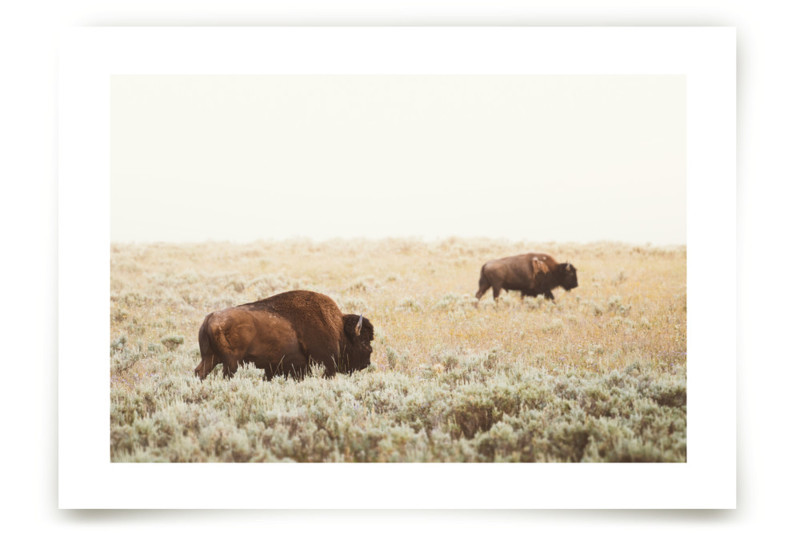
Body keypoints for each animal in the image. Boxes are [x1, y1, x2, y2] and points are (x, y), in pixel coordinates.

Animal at [195, 290, 374, 381]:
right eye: (364, 341)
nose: (367, 362)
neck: (337, 329)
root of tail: (210, 318)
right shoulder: (325, 364)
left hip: (210, 358)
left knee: (199, 372)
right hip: (231, 362)